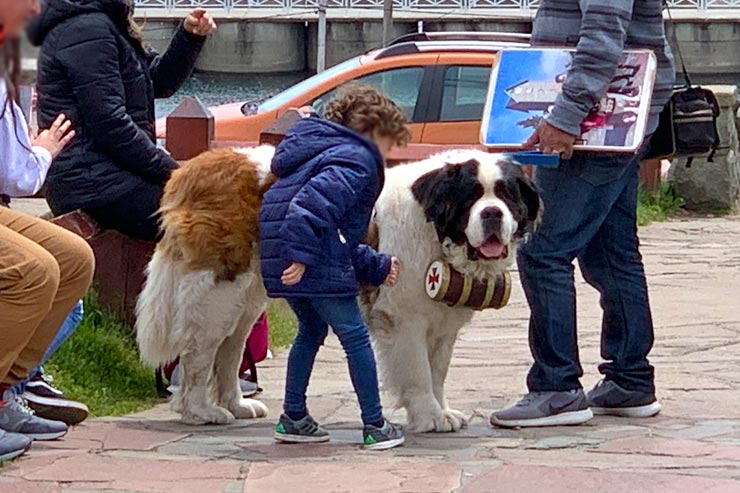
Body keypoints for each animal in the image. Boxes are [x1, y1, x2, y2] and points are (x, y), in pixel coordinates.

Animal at [134, 144, 536, 428]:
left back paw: (236, 404)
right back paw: (200, 411)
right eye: (471, 196)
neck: (435, 228)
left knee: (230, 349)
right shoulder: (405, 319)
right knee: (199, 352)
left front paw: (442, 410)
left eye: (507, 196)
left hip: (244, 300)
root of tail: (190, 169)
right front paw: (430, 417)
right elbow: (420, 372)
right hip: (217, 292)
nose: (492, 214)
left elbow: (438, 371)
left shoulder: (441, 323)